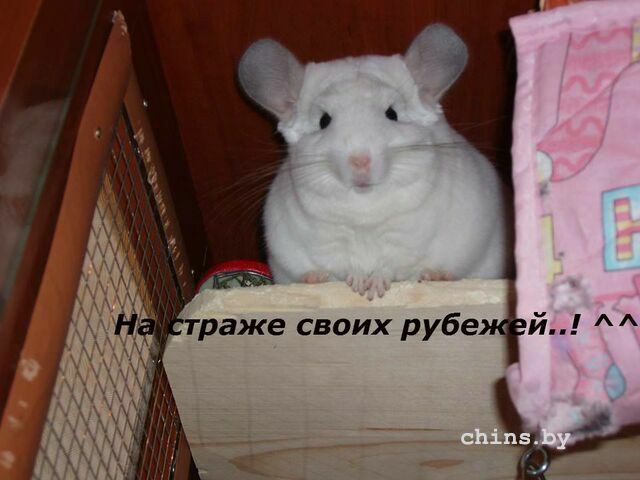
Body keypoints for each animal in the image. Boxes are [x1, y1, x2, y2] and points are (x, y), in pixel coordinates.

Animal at [238, 23, 513, 300]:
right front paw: (359, 284)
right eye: (323, 121)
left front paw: (375, 288)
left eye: (392, 113)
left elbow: (391, 264)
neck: (365, 212)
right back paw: (313, 278)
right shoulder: (328, 243)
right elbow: (344, 265)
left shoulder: (408, 238)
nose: (360, 161)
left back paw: (436, 275)